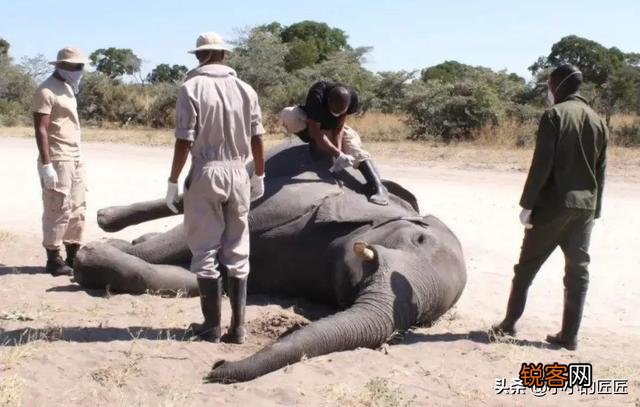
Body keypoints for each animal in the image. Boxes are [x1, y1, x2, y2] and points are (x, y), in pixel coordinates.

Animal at [73, 140, 467, 383]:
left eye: (427, 320)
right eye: (418, 239)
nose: (218, 364)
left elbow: (197, 277)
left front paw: (98, 255)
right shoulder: (297, 203)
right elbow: (187, 238)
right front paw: (89, 253)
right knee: (189, 199)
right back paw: (108, 221)